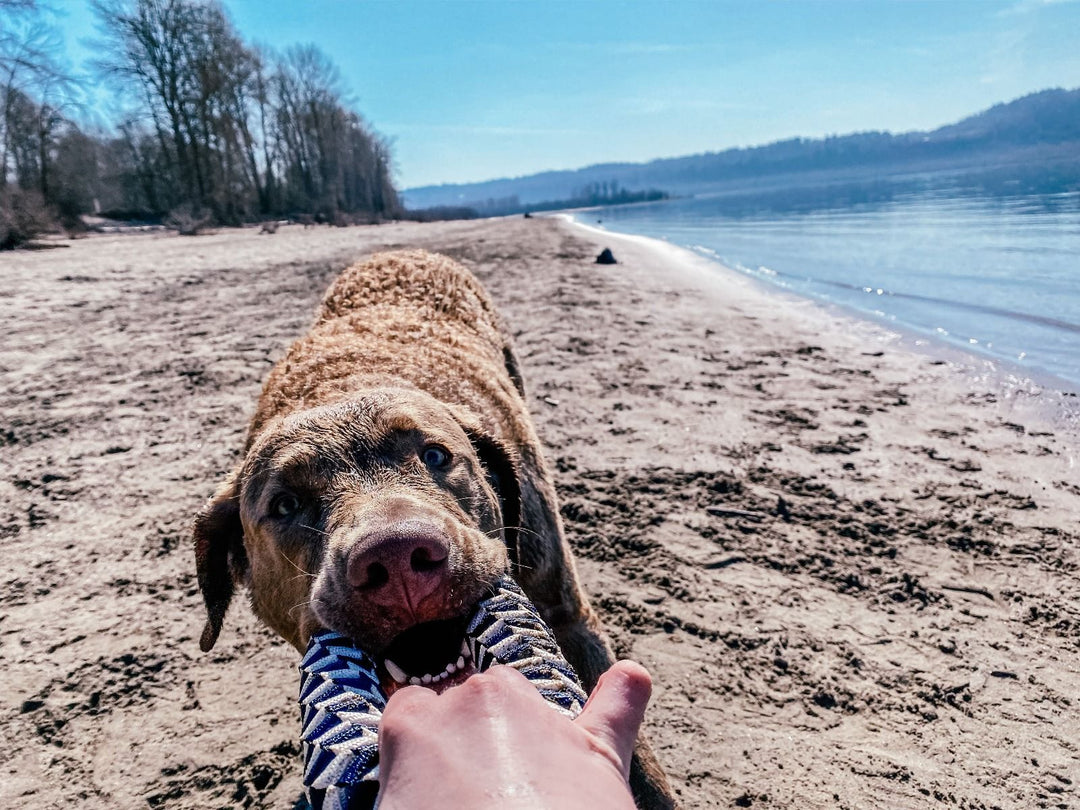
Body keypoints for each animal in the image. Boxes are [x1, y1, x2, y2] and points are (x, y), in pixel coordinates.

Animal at [190, 250, 669, 807]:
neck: (345, 383)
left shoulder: (568, 613)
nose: (397, 559)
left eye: (436, 455)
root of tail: (400, 250)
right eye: (285, 504)